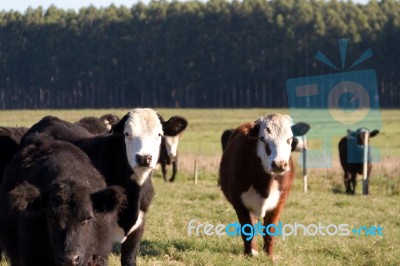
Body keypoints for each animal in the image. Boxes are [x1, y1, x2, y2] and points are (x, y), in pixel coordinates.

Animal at [219, 113, 310, 256]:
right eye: (262, 138)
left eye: (289, 139)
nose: (279, 164)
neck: (264, 184)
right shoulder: (239, 203)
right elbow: (247, 230)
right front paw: (250, 253)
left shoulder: (279, 202)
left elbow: (270, 231)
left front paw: (269, 255)